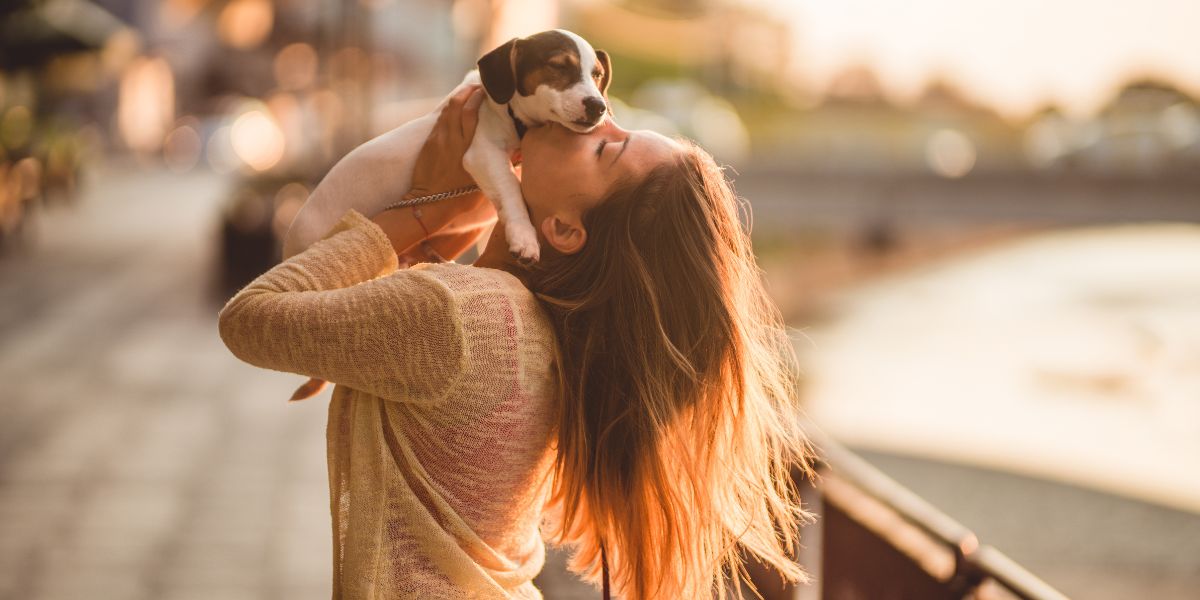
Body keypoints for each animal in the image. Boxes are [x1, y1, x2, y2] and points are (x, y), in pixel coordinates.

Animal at [282, 29, 614, 403]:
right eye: (558, 66)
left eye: (598, 75)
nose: (598, 106)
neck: (510, 116)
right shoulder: (483, 153)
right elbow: (512, 190)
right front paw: (524, 236)